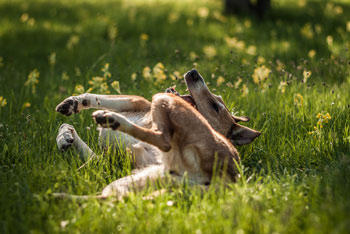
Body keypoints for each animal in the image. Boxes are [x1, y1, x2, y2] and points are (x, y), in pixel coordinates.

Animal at [54, 68, 258, 198]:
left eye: (215, 107)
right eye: (217, 100)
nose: (194, 72)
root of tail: (229, 178)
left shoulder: (137, 101)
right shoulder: (105, 161)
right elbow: (69, 121)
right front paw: (65, 134)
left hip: (160, 100)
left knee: (163, 141)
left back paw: (111, 119)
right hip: (141, 178)